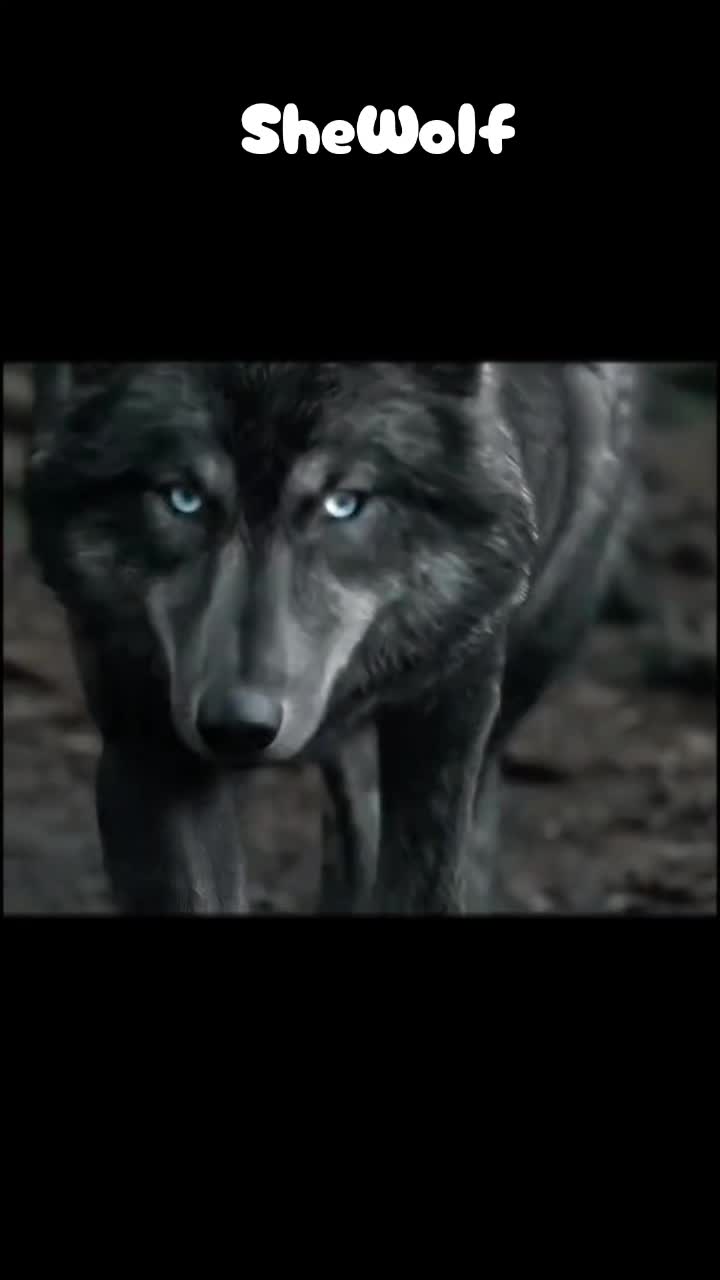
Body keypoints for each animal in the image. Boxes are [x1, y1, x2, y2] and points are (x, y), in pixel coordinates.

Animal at [25, 362, 639, 914]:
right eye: (183, 498)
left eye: (343, 503)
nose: (238, 724)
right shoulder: (145, 745)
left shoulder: (450, 711)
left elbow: (430, 885)